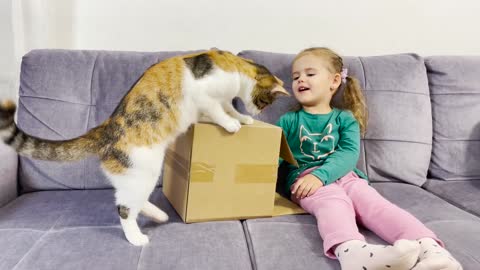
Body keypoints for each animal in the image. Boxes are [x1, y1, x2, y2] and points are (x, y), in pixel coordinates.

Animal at [0, 49, 288, 246]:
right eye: (264, 102)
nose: (258, 112)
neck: (234, 65)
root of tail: (106, 128)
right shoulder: (204, 95)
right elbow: (218, 110)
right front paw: (232, 123)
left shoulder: (222, 100)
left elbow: (228, 107)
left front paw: (242, 118)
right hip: (144, 169)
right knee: (124, 208)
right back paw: (136, 238)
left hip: (135, 176)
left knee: (128, 199)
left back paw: (159, 215)